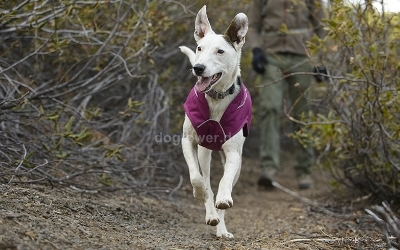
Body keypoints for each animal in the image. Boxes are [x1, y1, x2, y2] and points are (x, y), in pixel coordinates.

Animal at [180, 4, 252, 237]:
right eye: (199, 48)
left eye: (220, 51)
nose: (198, 68)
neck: (216, 97)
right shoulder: (188, 141)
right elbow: (197, 178)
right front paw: (200, 193)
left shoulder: (233, 153)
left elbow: (225, 180)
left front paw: (223, 199)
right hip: (205, 153)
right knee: (206, 179)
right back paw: (210, 213)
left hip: (236, 162)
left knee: (225, 183)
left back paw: (221, 227)